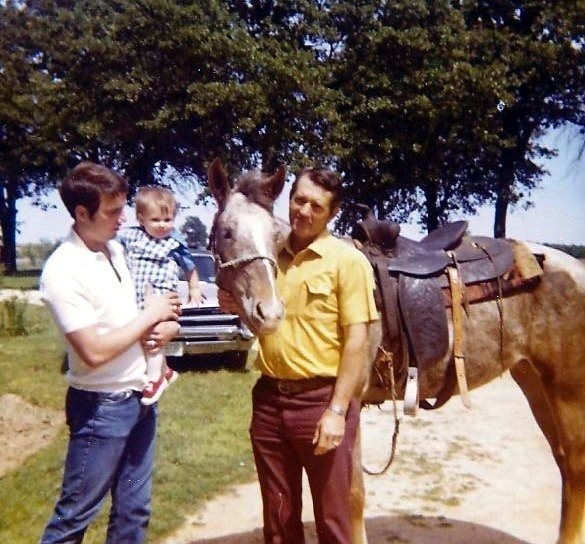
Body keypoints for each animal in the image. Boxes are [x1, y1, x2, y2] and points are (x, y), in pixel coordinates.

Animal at [207, 157, 585, 544]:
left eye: (274, 236)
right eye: (226, 232)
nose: (268, 312)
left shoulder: (347, 403)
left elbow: (351, 497)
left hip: (568, 390)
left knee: (575, 465)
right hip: (534, 382)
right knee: (563, 463)